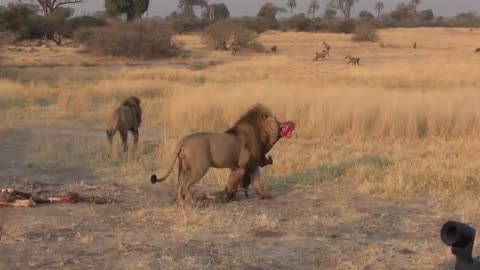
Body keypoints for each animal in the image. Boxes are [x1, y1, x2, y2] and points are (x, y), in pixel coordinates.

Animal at [150, 103, 292, 207]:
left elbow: (257, 182)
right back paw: (192, 203)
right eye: (276, 119)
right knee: (186, 184)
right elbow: (231, 183)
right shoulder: (241, 166)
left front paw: (266, 196)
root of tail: (184, 140)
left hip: (184, 167)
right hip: (200, 168)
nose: (283, 123)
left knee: (179, 183)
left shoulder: (251, 165)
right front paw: (225, 198)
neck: (261, 133)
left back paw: (181, 203)